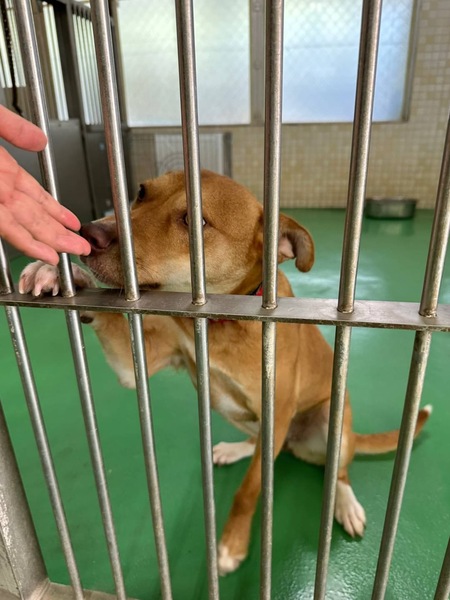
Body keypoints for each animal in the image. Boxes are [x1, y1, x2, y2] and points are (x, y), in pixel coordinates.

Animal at [19, 170, 431, 575]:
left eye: (195, 220)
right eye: (141, 192)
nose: (88, 234)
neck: (220, 319)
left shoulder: (277, 411)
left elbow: (249, 491)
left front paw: (232, 544)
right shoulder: (138, 364)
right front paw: (60, 274)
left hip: (333, 425)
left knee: (336, 471)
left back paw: (344, 503)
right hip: (230, 410)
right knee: (262, 445)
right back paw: (237, 449)